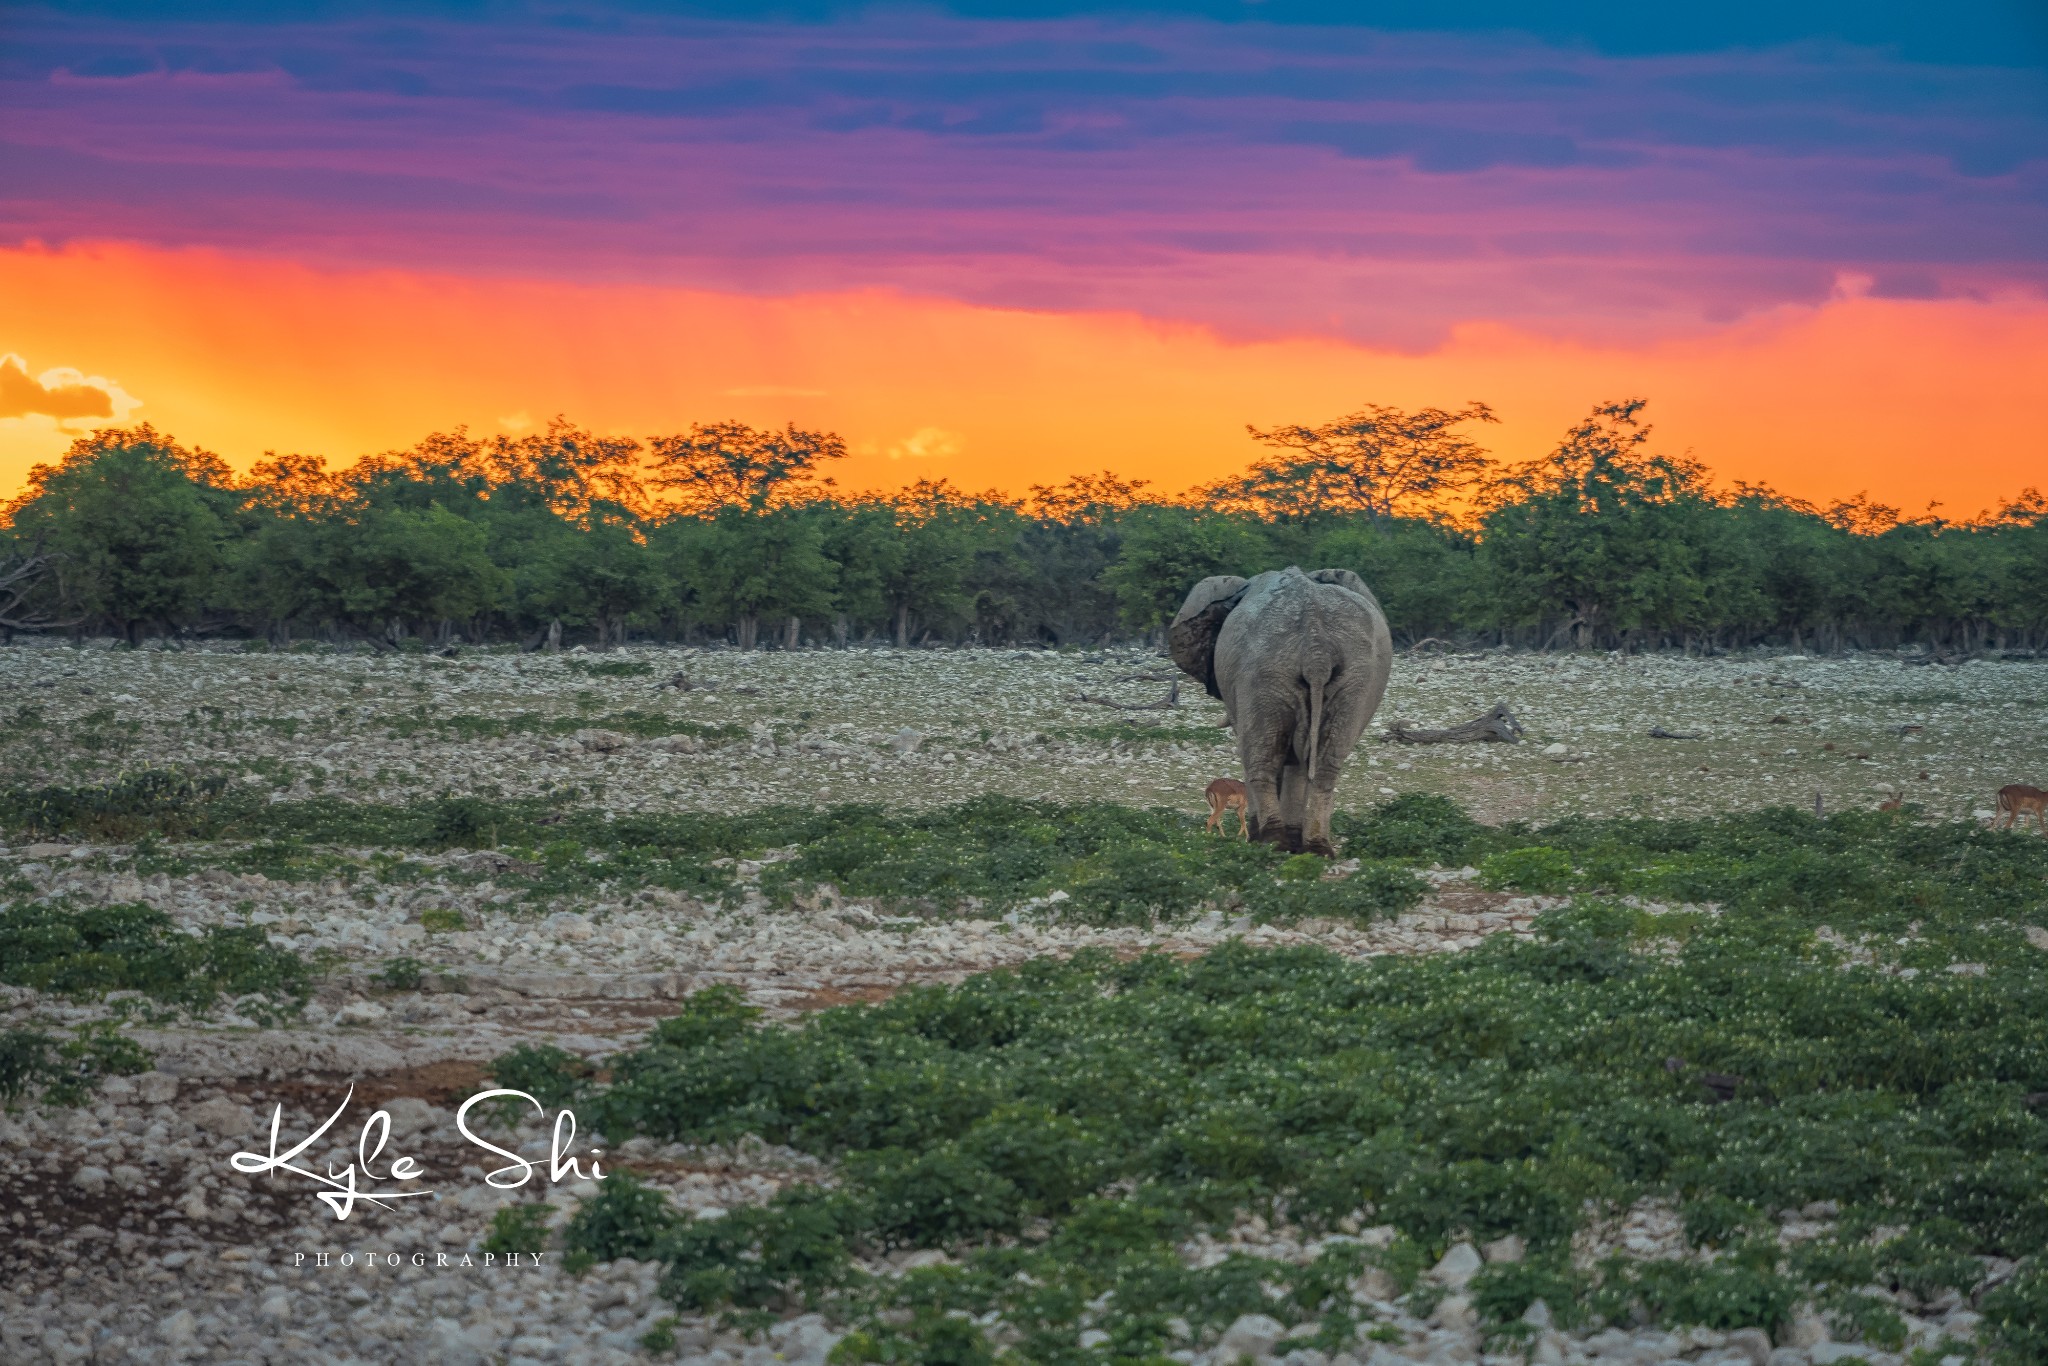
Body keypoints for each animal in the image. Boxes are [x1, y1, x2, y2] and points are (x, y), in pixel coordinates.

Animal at [1171, 565, 1392, 856]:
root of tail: (1316, 646)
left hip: (1264, 672)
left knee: (1261, 757)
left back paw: (1271, 842)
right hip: (1355, 679)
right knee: (1325, 764)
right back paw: (1317, 848)